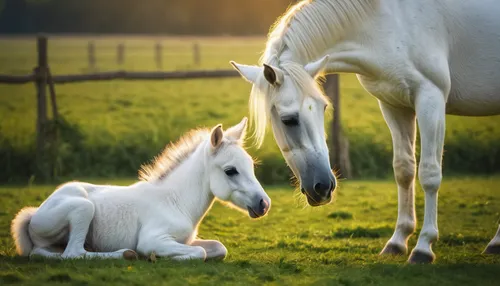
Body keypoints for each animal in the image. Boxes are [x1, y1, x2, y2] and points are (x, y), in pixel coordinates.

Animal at [11, 117, 270, 260]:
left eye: (251, 166)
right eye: (230, 171)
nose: (264, 204)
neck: (176, 202)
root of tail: (33, 215)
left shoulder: (186, 240)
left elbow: (218, 248)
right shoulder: (153, 238)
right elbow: (200, 253)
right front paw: (157, 257)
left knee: (44, 253)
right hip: (83, 208)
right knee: (74, 253)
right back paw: (126, 254)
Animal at [230, 0, 500, 264]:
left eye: (324, 107)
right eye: (288, 120)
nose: (323, 187)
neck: (391, 20)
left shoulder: (430, 98)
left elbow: (429, 173)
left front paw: (423, 247)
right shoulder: (394, 104)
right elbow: (404, 169)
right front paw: (397, 241)